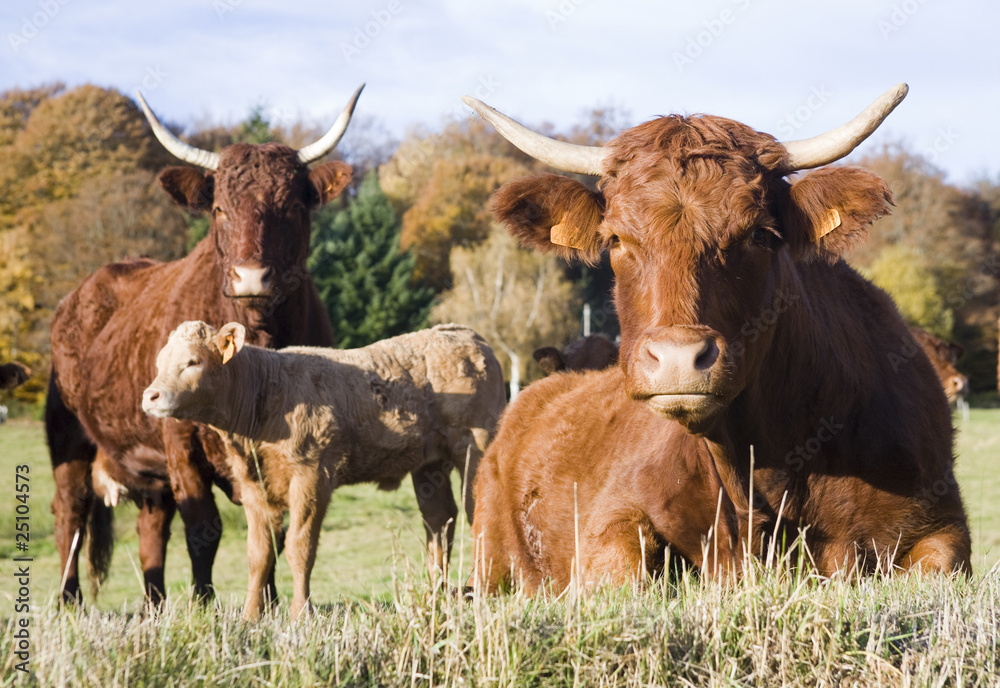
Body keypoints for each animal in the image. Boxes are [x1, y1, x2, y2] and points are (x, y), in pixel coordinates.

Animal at [47, 84, 366, 600]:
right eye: (219, 209)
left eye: (294, 208)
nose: (252, 276)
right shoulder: (180, 439)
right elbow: (204, 528)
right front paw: (203, 603)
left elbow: (271, 528)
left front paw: (268, 601)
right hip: (68, 437)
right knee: (70, 515)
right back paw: (70, 601)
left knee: (151, 527)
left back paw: (155, 604)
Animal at [144, 322, 504, 620]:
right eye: (159, 364)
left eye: (193, 361)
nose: (151, 395)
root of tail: (466, 334)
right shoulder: (253, 484)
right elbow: (258, 553)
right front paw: (249, 617)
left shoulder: (312, 474)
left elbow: (299, 547)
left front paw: (300, 614)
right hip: (430, 463)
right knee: (440, 520)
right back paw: (435, 597)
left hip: (476, 445)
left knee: (478, 511)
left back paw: (478, 591)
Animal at [466, 80, 968, 584]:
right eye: (615, 240)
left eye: (759, 234)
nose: (677, 358)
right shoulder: (608, 521)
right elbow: (625, 569)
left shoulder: (942, 527)